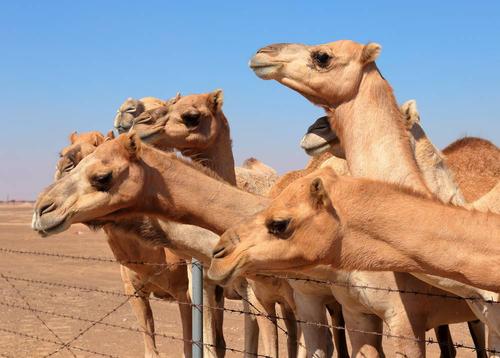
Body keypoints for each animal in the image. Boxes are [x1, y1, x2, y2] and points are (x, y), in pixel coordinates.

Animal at [127, 91, 298, 358]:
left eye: (191, 116)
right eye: (170, 101)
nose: (140, 123)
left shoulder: (248, 289)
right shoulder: (205, 284)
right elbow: (213, 344)